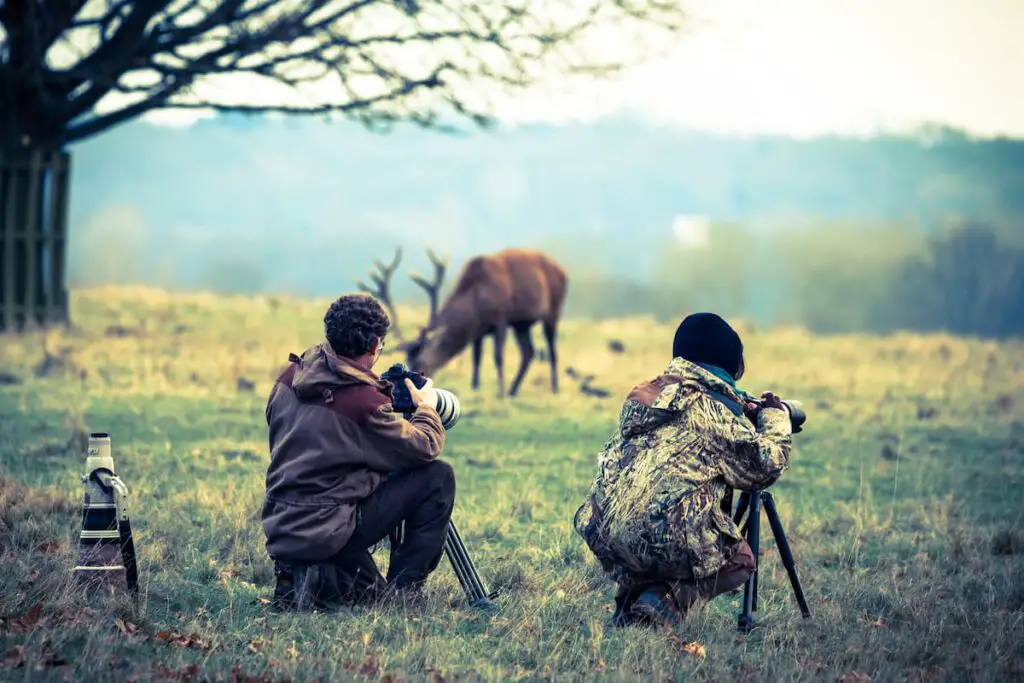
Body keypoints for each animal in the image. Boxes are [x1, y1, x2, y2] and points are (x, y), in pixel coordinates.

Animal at [358, 246, 569, 397]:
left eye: (419, 363)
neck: (476, 302)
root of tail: (563, 270)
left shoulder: (501, 318)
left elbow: (498, 357)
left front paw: (500, 392)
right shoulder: (478, 330)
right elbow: (476, 358)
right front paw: (476, 388)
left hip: (554, 310)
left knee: (552, 350)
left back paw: (554, 388)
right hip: (521, 324)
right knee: (529, 352)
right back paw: (514, 390)